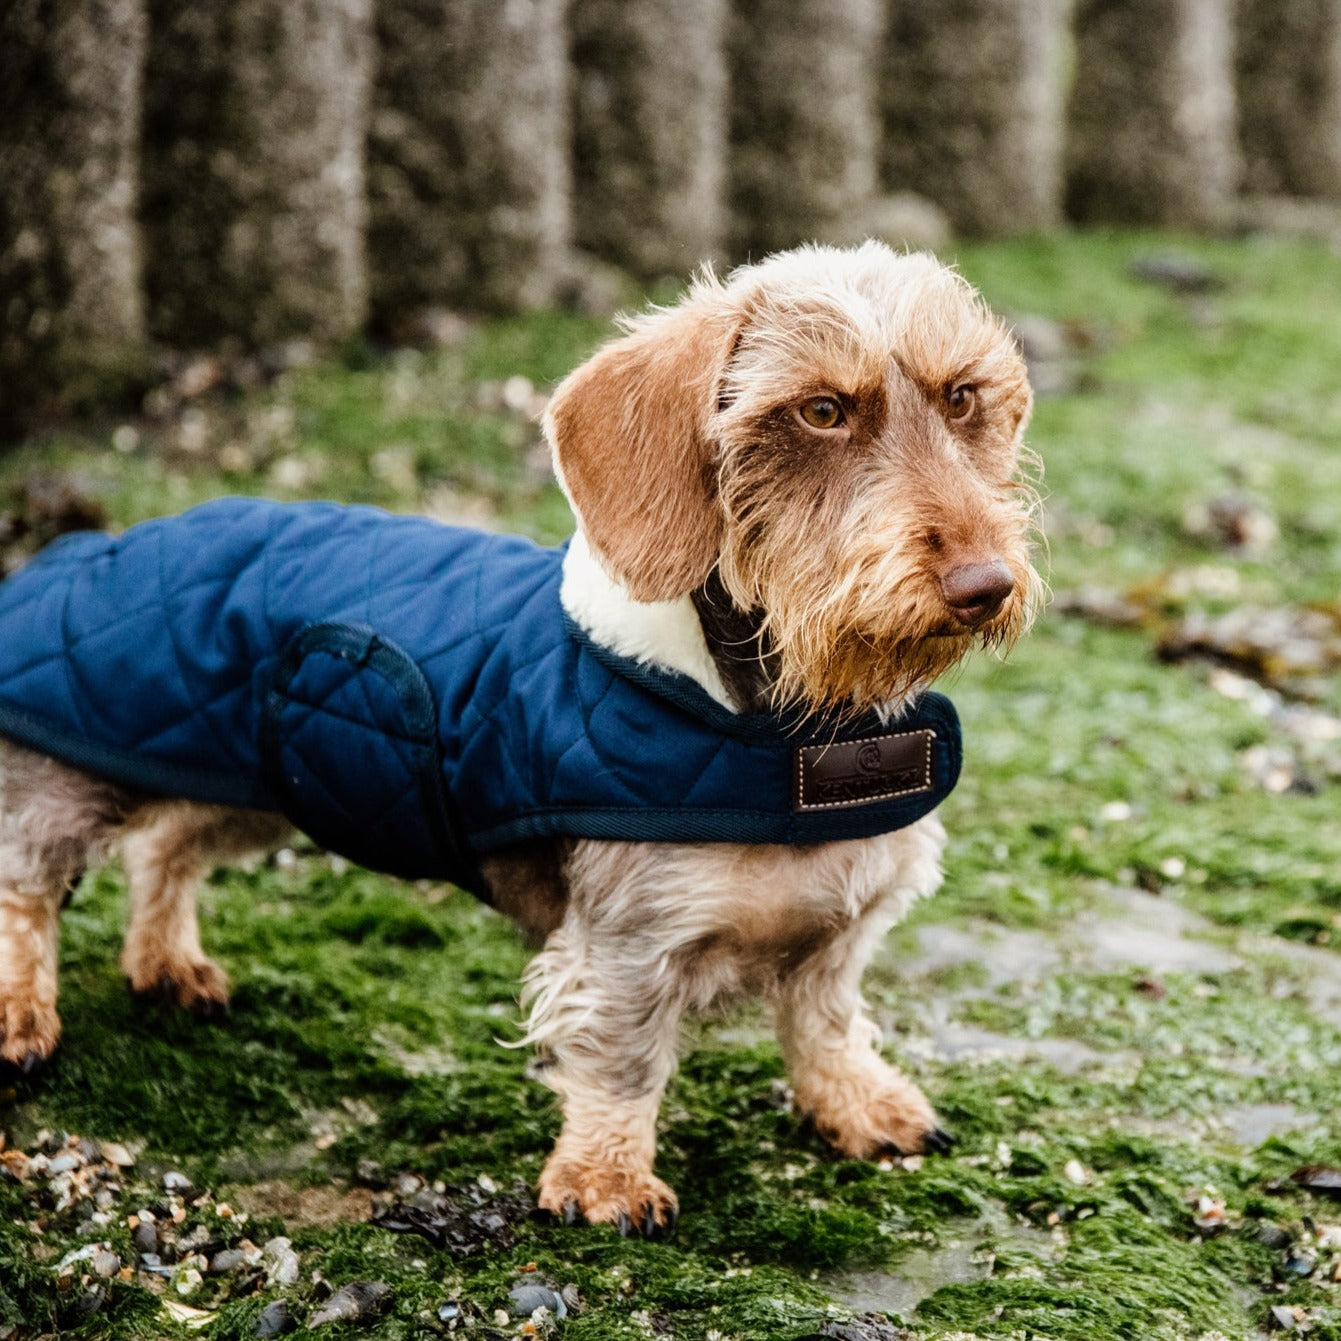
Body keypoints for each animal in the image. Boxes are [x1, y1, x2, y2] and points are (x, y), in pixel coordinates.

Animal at [0, 241, 1035, 1233]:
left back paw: (166, 963)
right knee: (27, 880)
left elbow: (825, 1023)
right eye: (821, 410)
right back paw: (19, 1012)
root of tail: (108, 543)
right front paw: (605, 1178)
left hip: (272, 778)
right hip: (90, 767)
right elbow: (621, 1061)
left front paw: (857, 1103)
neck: (790, 735)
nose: (984, 583)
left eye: (962, 395)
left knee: (166, 846)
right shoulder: (628, 942)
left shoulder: (840, 931)